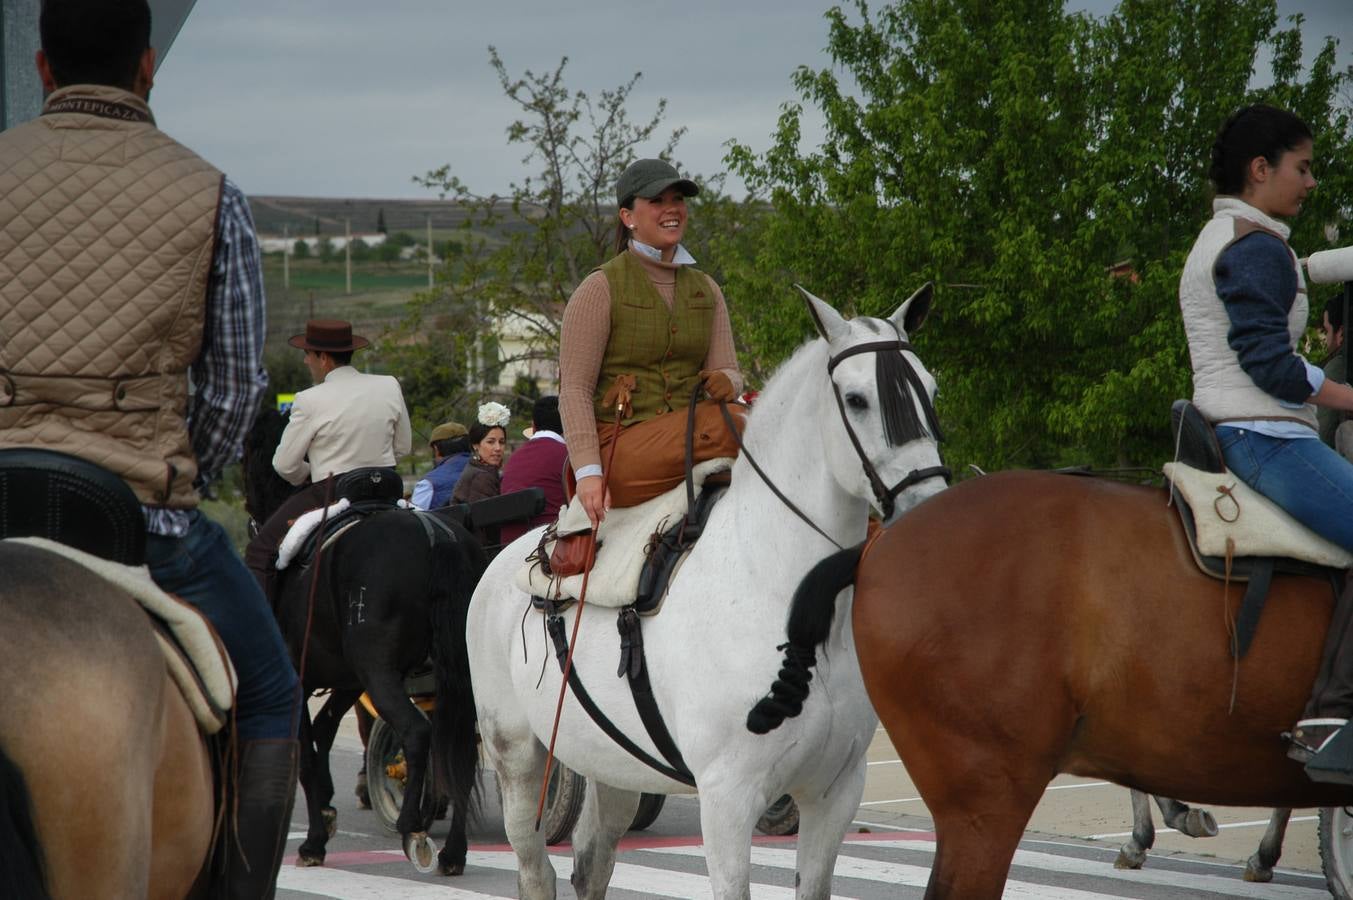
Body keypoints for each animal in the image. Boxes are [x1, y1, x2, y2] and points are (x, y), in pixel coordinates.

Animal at [244, 406, 487, 871]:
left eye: (250, 453)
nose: (247, 506)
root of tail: (436, 534)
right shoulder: (347, 680)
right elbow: (323, 732)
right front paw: (326, 810)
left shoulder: (302, 679)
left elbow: (306, 750)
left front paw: (314, 841)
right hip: (448, 678)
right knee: (458, 745)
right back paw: (453, 851)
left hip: (380, 674)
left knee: (417, 732)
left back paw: (412, 824)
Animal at [460, 284, 947, 893]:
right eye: (857, 399)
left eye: (930, 389)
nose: (929, 507)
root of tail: (504, 559)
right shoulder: (727, 800)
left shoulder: (834, 794)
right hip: (518, 759)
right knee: (535, 869)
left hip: (613, 765)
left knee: (593, 862)